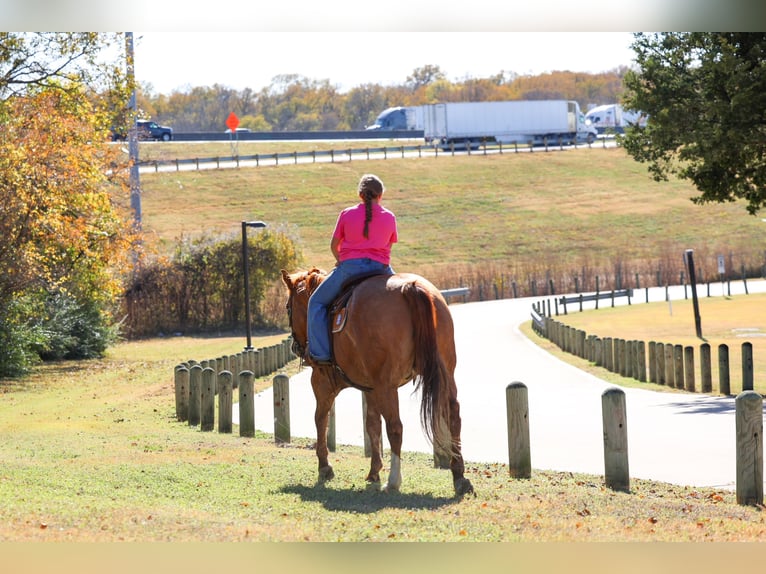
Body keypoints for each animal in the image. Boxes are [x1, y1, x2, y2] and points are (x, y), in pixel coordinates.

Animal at [280, 268, 474, 496]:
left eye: (288, 307)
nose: (295, 346)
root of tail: (410, 287)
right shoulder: (370, 388)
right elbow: (372, 425)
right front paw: (374, 471)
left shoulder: (322, 383)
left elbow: (321, 419)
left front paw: (325, 467)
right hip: (444, 375)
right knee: (453, 416)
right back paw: (459, 477)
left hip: (386, 386)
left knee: (395, 427)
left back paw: (394, 481)